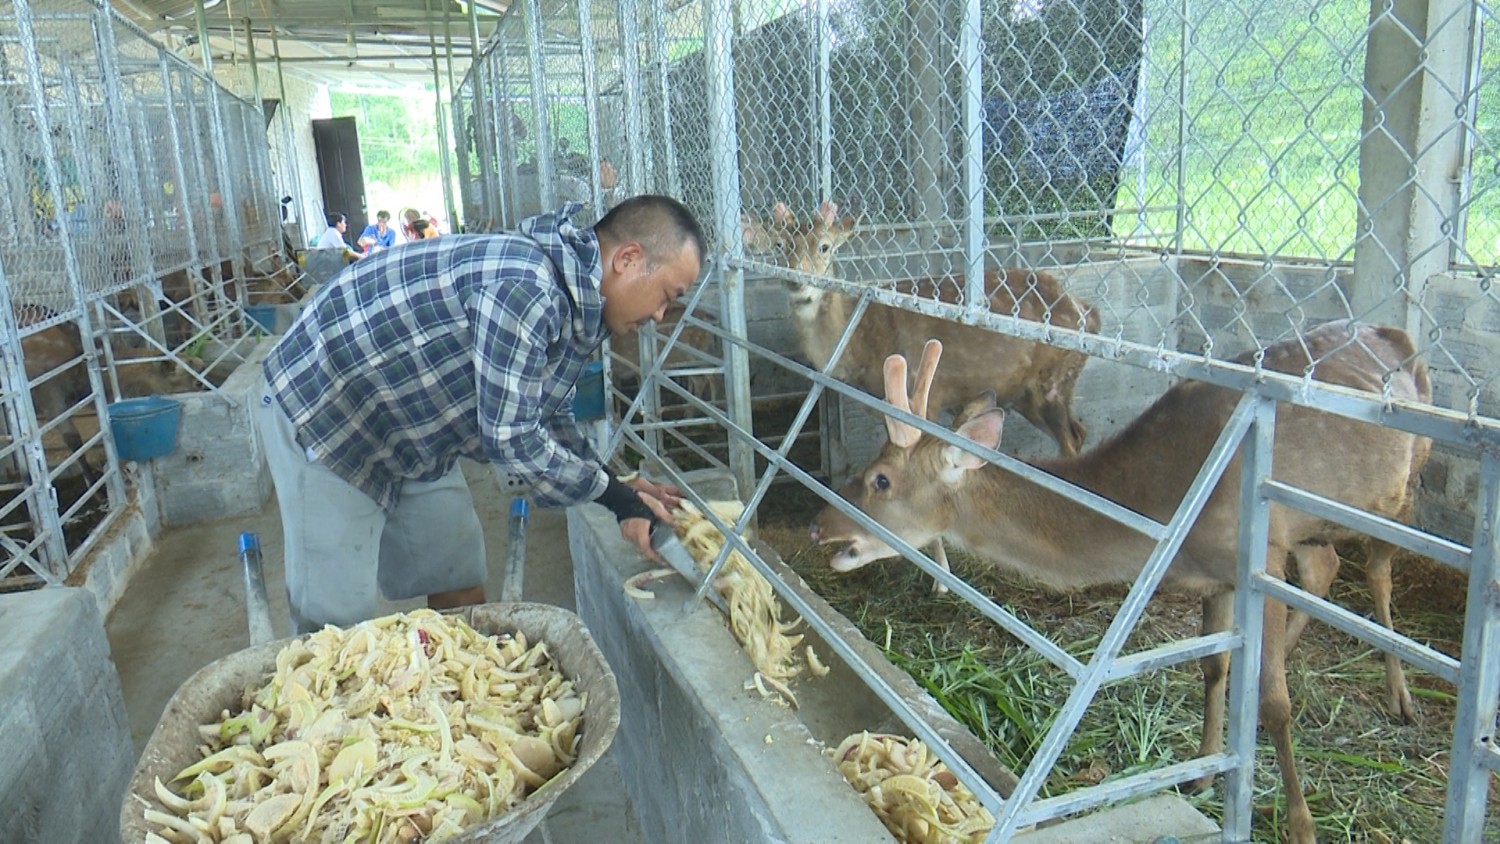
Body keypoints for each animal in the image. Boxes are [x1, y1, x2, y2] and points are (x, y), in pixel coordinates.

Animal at [741, 199, 1104, 455]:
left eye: (825, 246)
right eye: (779, 246)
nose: (796, 281)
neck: (858, 347)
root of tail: (1090, 312)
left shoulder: (926, 395)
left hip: (1053, 382)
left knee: (1072, 438)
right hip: (1028, 393)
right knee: (1081, 431)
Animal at [810, 323, 1428, 844]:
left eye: (880, 480)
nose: (820, 525)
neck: (1165, 498)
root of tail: (1397, 336)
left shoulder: (1263, 558)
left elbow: (1275, 702)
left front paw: (1301, 827)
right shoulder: (1220, 576)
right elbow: (1213, 665)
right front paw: (1201, 774)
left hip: (1401, 489)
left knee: (1376, 571)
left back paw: (1401, 696)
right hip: (1312, 526)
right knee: (1327, 567)